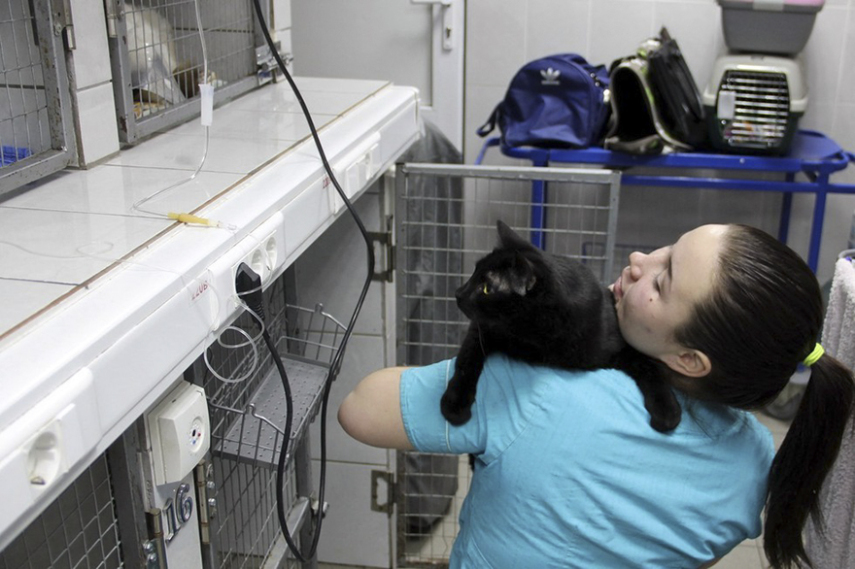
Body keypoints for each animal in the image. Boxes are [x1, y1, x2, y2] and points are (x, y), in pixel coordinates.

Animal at [442, 220, 684, 432]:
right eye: (473, 273)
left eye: (485, 289)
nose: (457, 293)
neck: (536, 339)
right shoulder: (483, 329)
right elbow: (467, 360)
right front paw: (455, 403)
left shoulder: (621, 347)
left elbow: (650, 368)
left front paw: (667, 411)